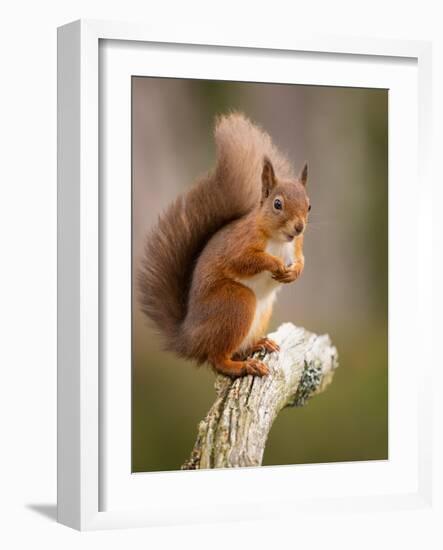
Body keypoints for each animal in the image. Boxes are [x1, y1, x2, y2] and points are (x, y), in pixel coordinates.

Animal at [140, 112, 312, 380]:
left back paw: (258, 344)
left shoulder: (296, 246)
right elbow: (244, 260)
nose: (299, 227)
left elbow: (301, 259)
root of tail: (190, 338)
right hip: (236, 303)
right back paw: (243, 366)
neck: (279, 239)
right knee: (217, 359)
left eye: (309, 205)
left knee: (234, 349)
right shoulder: (241, 243)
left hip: (261, 312)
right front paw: (274, 264)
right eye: (277, 204)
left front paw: (295, 271)